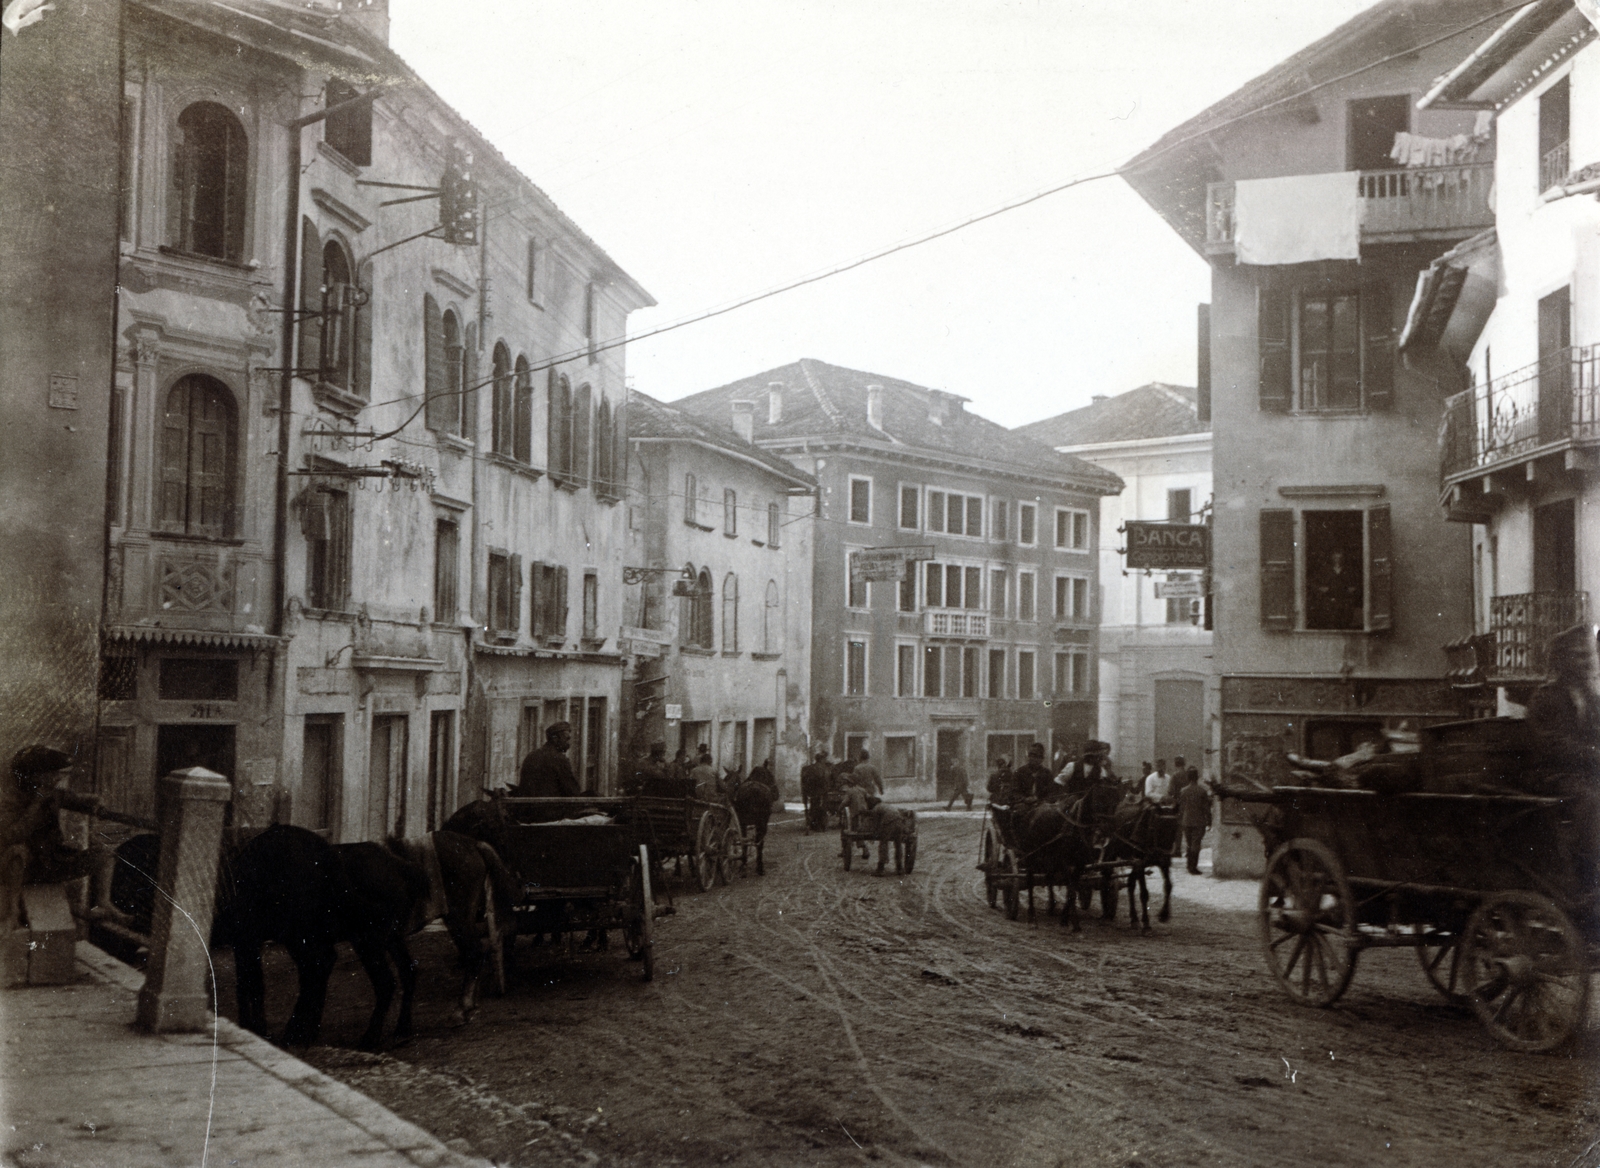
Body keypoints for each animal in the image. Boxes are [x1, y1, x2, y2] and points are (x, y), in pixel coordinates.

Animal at [211, 819, 432, 1049]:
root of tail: (405, 868)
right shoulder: (245, 942)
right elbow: (245, 982)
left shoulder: (248, 938)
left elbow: (253, 983)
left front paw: (256, 1028)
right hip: (387, 937)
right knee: (407, 970)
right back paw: (401, 1030)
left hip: (361, 939)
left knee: (381, 980)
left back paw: (364, 1038)